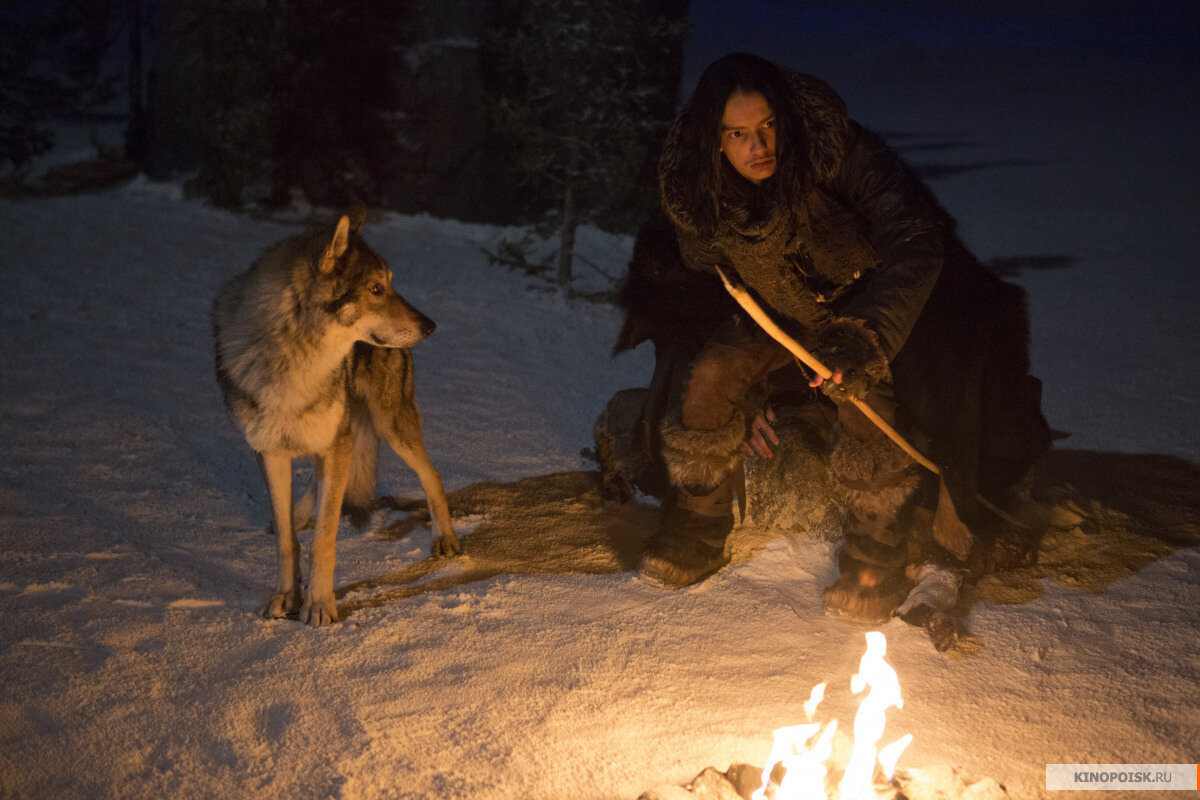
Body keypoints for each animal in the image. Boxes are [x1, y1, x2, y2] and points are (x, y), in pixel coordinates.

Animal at [211, 211, 458, 623]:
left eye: (390, 284)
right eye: (376, 289)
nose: (431, 326)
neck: (295, 362)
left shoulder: (336, 442)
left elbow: (323, 540)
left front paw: (319, 604)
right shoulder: (270, 451)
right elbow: (287, 541)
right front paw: (286, 596)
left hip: (389, 425)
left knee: (432, 475)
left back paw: (446, 540)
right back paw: (298, 515)